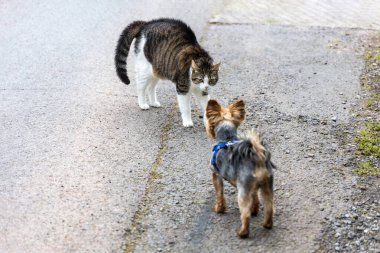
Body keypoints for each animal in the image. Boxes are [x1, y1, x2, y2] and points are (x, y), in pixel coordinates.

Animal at [206, 100, 274, 238]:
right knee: (269, 206)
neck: (227, 138)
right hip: (266, 185)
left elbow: (219, 194)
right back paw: (267, 224)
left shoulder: (216, 175)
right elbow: (255, 199)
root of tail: (257, 158)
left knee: (245, 214)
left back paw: (242, 233)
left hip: (242, 192)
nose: (208, 130)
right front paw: (255, 210)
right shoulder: (251, 189)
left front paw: (219, 209)